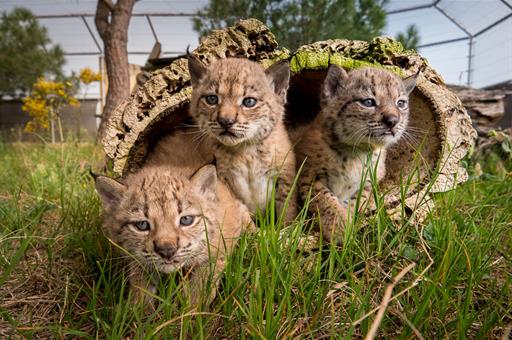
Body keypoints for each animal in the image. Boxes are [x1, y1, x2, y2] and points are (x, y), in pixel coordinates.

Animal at [95, 134, 253, 306]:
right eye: (142, 225)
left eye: (186, 220)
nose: (167, 251)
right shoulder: (137, 258)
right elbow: (141, 282)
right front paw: (138, 308)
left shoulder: (218, 249)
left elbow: (202, 283)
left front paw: (193, 309)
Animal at [187, 56, 298, 223]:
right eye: (212, 99)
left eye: (249, 102)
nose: (225, 121)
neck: (246, 151)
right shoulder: (225, 181)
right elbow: (239, 211)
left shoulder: (285, 176)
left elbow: (287, 212)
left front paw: (287, 228)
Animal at [296, 65, 416, 242]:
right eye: (368, 102)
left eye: (400, 103)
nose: (393, 121)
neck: (359, 150)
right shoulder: (310, 176)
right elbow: (326, 200)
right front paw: (339, 229)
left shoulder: (366, 184)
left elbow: (353, 204)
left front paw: (347, 226)